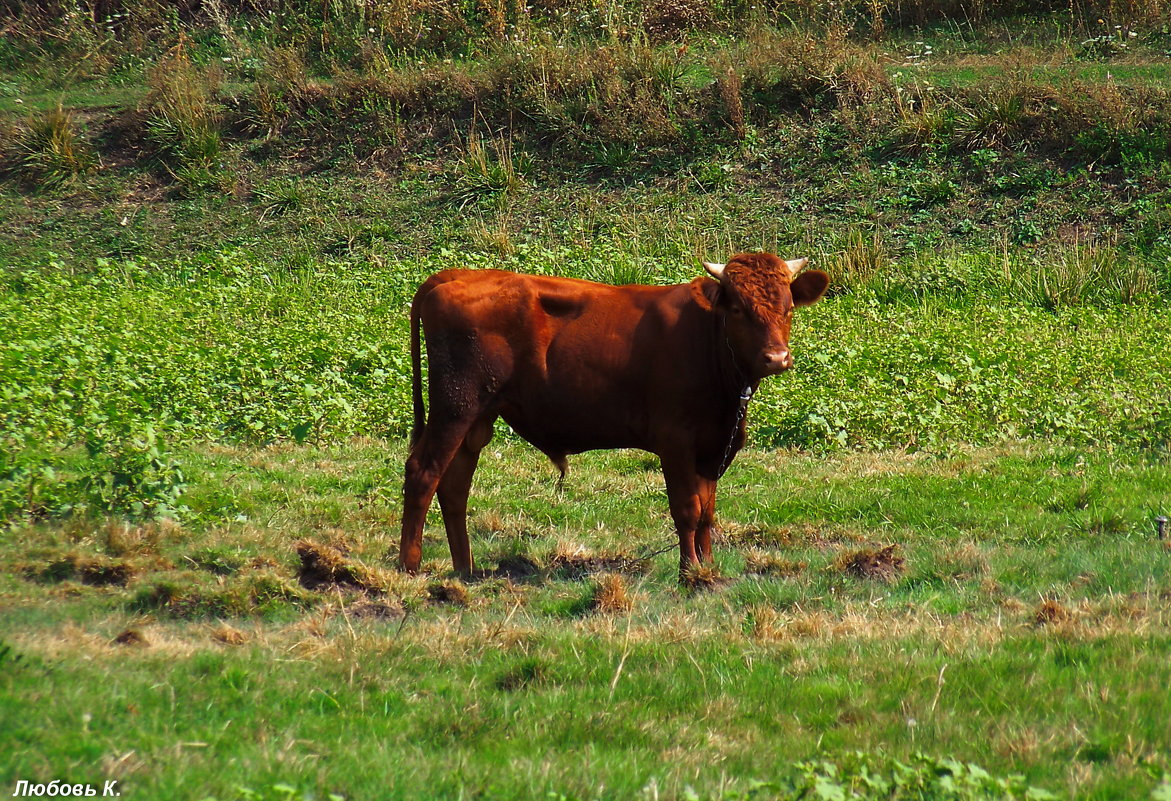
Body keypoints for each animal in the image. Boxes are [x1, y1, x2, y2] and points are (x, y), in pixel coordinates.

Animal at [402, 252, 833, 571]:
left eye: (788, 307)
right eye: (739, 309)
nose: (776, 357)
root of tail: (457, 275)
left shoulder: (715, 445)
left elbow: (707, 511)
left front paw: (708, 569)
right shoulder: (675, 439)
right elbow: (686, 509)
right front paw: (689, 573)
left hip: (477, 417)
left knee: (454, 485)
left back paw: (465, 569)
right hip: (455, 406)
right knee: (423, 473)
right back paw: (410, 566)